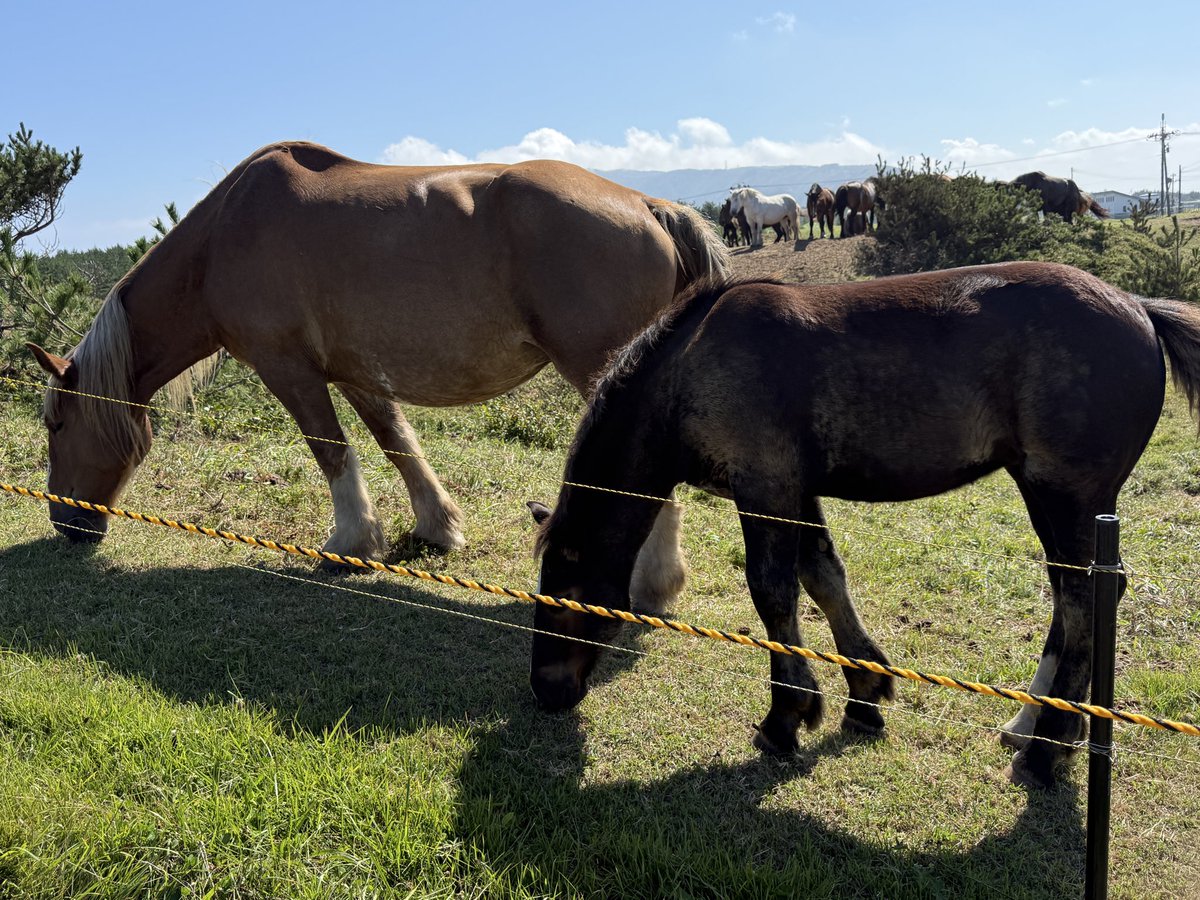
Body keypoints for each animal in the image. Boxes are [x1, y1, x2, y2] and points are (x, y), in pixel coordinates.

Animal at [26, 140, 728, 607]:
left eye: (56, 424)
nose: (64, 523)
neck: (223, 236)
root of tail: (648, 202)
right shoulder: (359, 373)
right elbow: (399, 445)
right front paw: (437, 526)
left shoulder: (289, 370)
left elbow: (332, 450)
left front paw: (351, 541)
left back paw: (650, 585)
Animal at [528, 263, 1200, 789]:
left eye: (564, 597)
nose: (545, 692)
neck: (689, 365)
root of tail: (1139, 308)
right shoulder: (796, 491)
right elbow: (824, 578)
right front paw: (864, 691)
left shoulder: (766, 489)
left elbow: (774, 593)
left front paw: (785, 717)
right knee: (1076, 595)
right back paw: (1034, 723)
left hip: (1064, 496)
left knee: (1084, 598)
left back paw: (1047, 747)